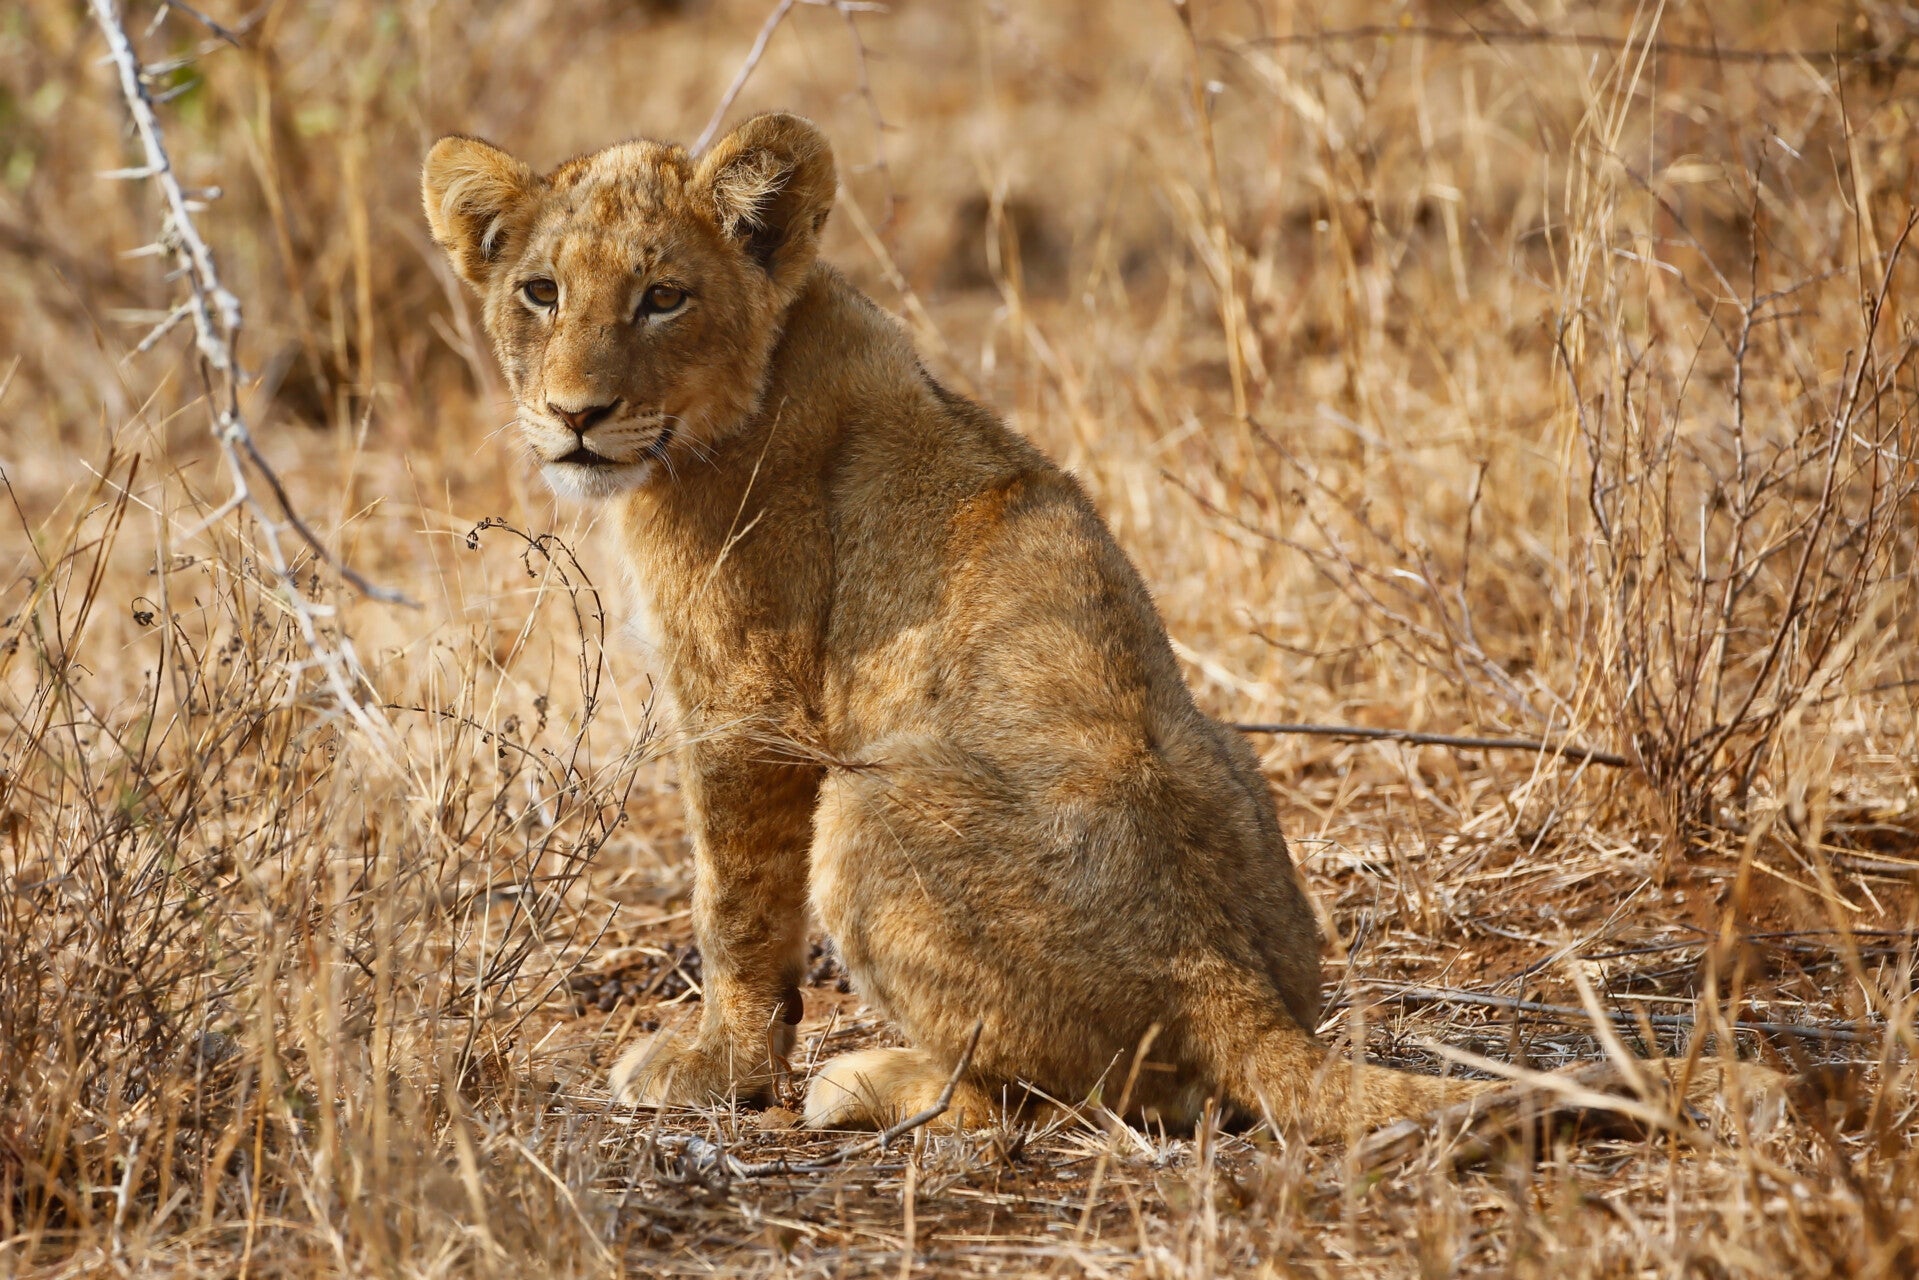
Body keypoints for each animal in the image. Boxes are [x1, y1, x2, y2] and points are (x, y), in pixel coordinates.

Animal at [421, 112, 1488, 1136]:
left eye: (663, 298)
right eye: (541, 292)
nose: (575, 415)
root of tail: (1225, 978)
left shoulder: (747, 703)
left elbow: (733, 902)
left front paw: (721, 1068)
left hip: (867, 802)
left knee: (1031, 1101)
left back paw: (871, 1082)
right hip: (1225, 755)